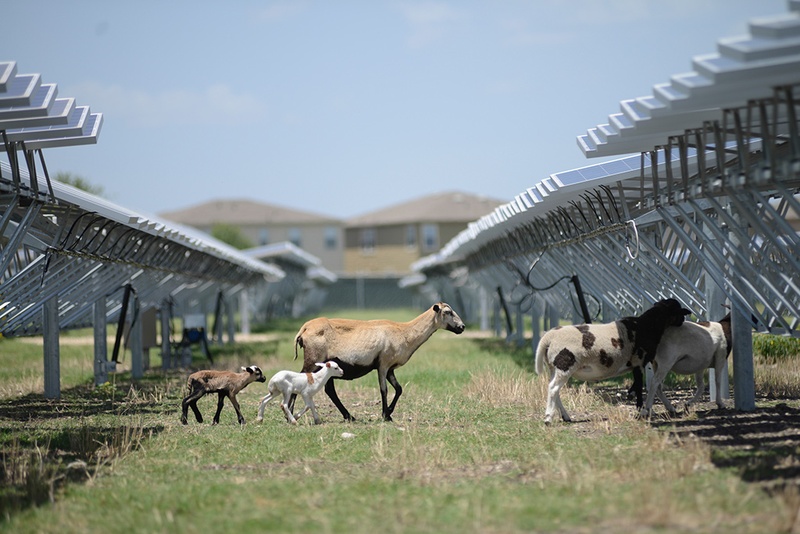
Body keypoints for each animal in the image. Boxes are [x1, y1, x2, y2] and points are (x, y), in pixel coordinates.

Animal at [293, 302, 466, 422]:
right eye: (448, 312)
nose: (462, 327)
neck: (405, 332)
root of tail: (304, 328)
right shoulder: (383, 364)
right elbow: (384, 390)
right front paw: (385, 415)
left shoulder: (390, 369)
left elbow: (399, 389)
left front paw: (389, 412)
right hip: (313, 360)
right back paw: (291, 415)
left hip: (328, 366)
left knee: (330, 390)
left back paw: (349, 416)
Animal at [534, 298, 691, 424]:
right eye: (679, 310)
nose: (683, 320)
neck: (647, 326)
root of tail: (548, 337)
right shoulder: (638, 361)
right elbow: (639, 387)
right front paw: (640, 410)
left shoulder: (636, 364)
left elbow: (637, 386)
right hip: (565, 365)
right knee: (553, 388)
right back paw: (548, 418)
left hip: (555, 368)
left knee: (554, 389)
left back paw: (565, 417)